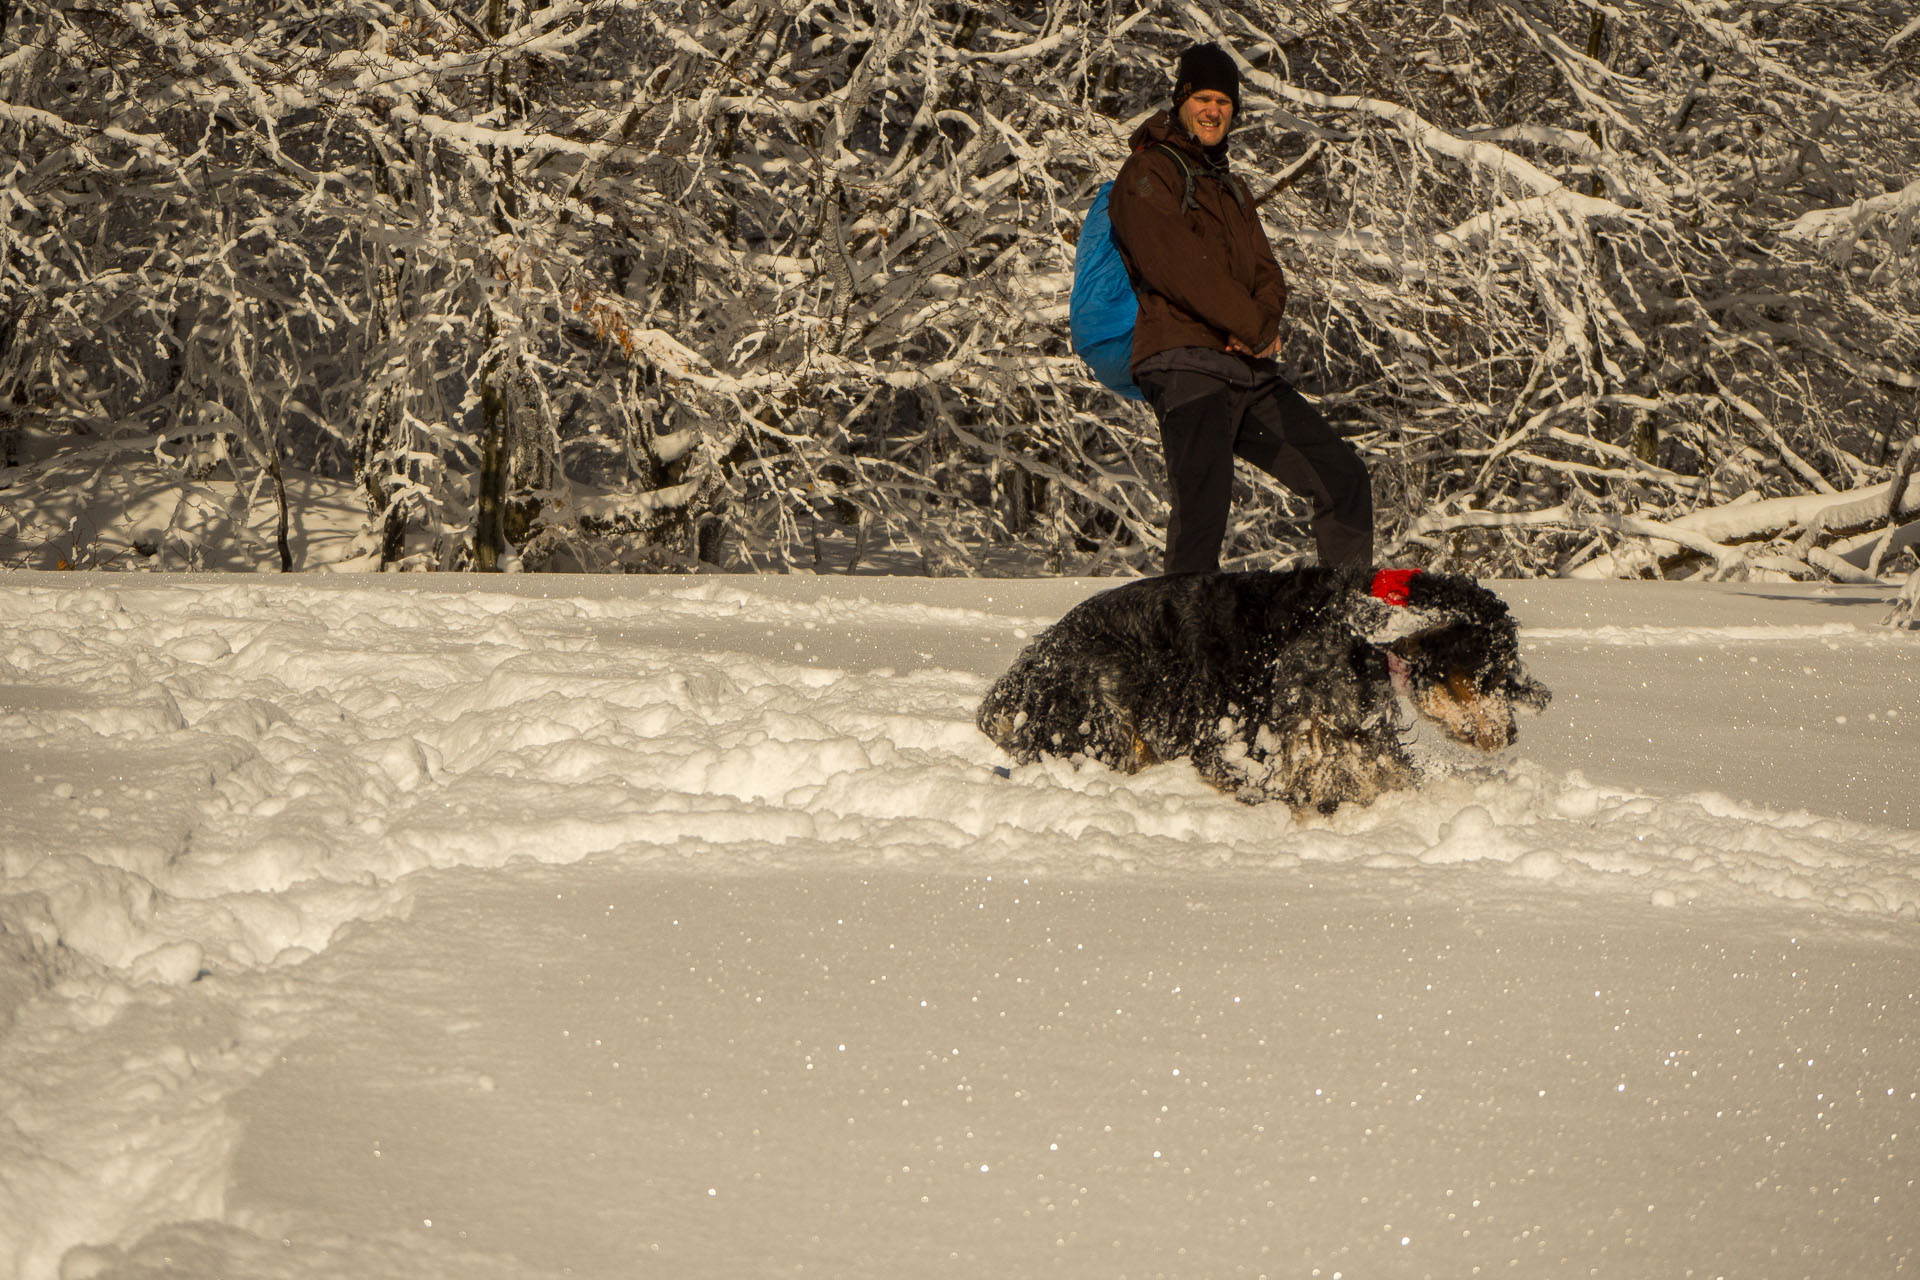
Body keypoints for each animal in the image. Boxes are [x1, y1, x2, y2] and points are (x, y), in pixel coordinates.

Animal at [983, 568, 1551, 809]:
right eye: (1492, 673)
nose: (1512, 733)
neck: (1356, 629)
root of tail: (1027, 669)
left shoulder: (1356, 728)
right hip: (1108, 695)